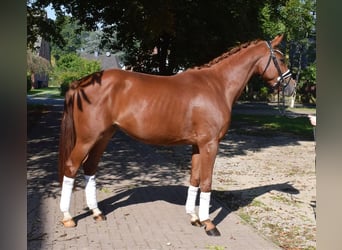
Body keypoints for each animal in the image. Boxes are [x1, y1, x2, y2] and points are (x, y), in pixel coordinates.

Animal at [58, 34, 296, 235]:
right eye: (281, 59)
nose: (291, 87)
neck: (217, 86)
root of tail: (81, 82)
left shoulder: (197, 145)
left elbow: (195, 178)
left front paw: (194, 217)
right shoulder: (210, 144)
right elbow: (207, 182)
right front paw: (209, 223)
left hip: (103, 136)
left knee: (90, 168)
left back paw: (97, 213)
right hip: (88, 139)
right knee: (71, 167)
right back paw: (68, 217)